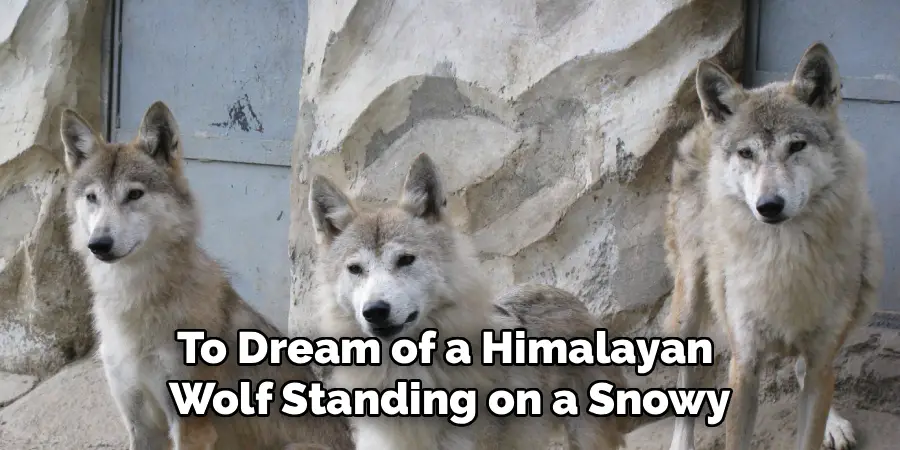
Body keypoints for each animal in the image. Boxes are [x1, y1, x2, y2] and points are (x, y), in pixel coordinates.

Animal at [60, 101, 354, 450]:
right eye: (92, 197)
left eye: (134, 194)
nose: (99, 244)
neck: (134, 300)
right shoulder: (140, 424)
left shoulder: (191, 427)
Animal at [664, 42, 883, 450]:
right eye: (746, 153)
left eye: (796, 146)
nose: (769, 205)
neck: (783, 258)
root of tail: (705, 125)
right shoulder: (745, 364)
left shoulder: (820, 358)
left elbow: (810, 418)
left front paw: (826, 426)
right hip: (688, 311)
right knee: (686, 388)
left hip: (863, 294)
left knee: (805, 368)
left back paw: (834, 424)